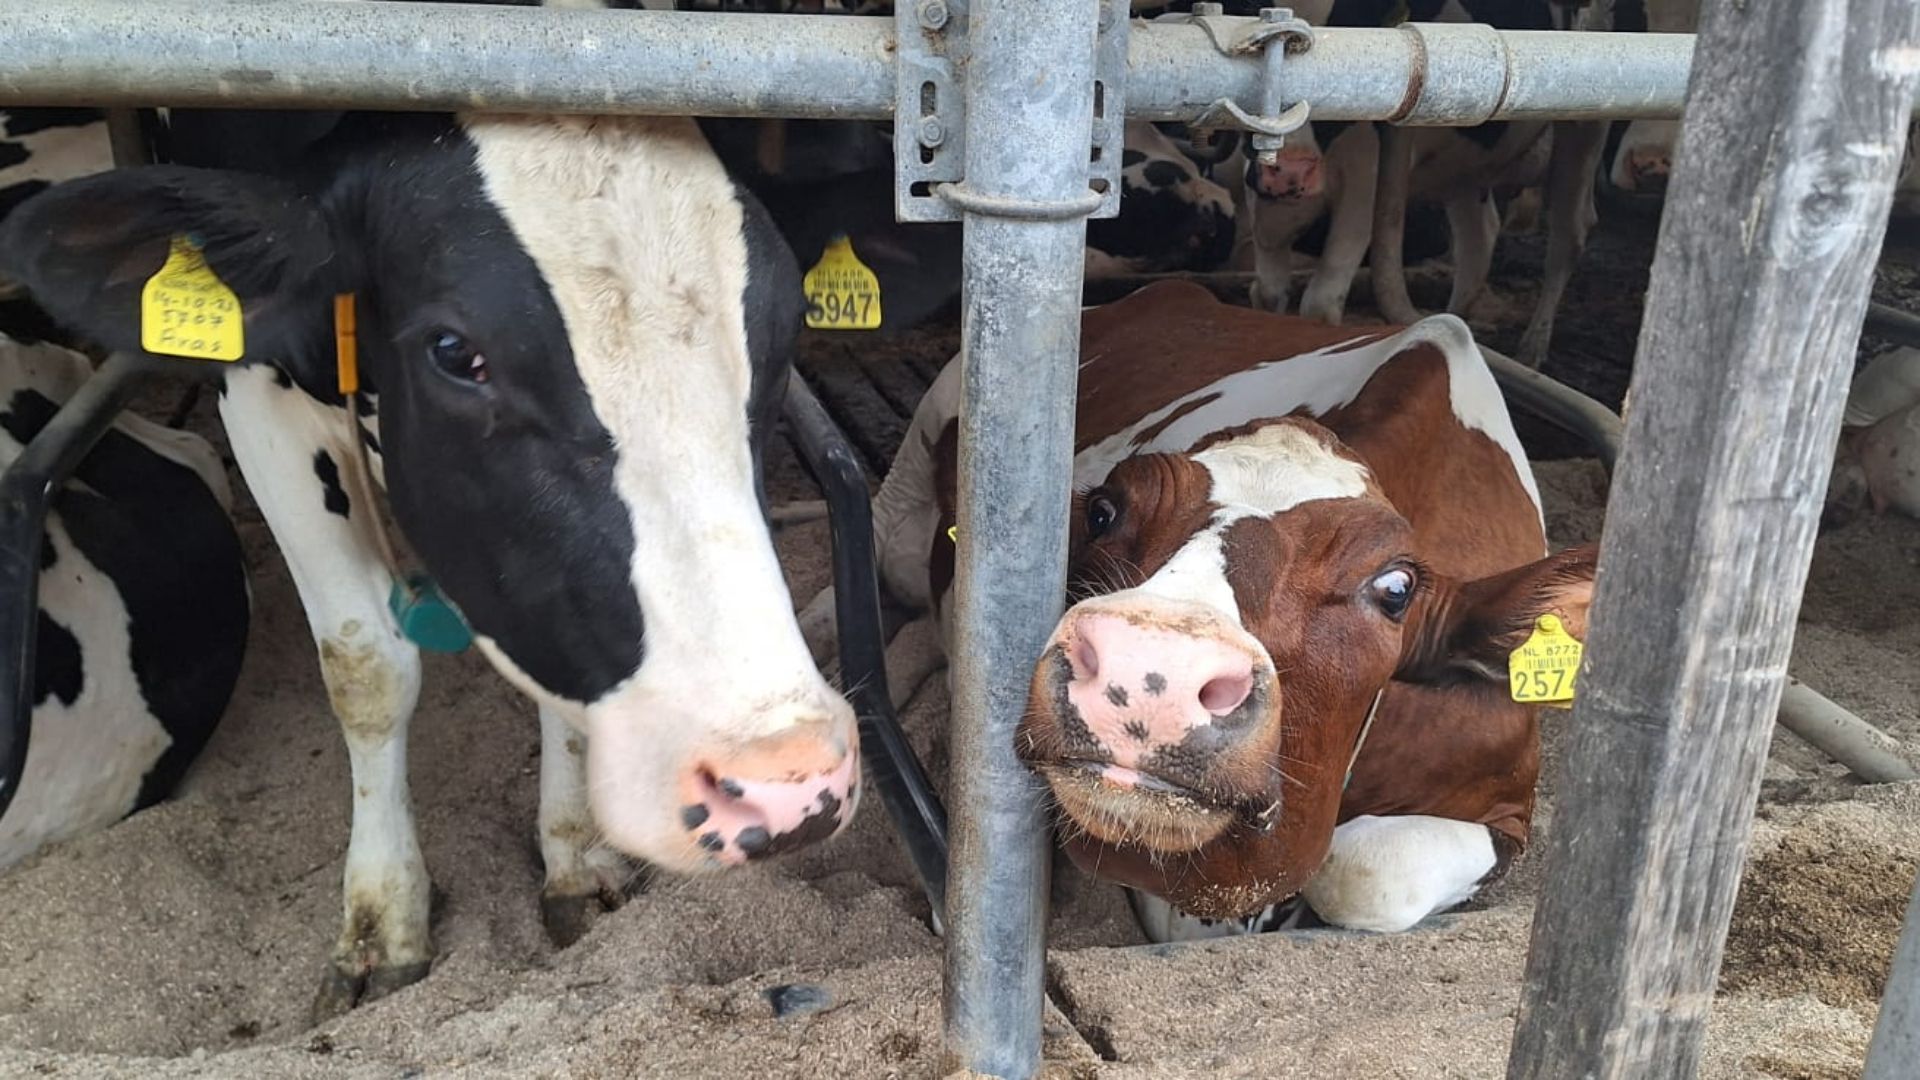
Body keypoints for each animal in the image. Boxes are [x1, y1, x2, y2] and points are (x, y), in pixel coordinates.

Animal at [802, 282, 1597, 937]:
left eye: (1395, 589)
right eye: (1104, 512)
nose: (1148, 671)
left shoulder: (1508, 806)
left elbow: (1367, 874)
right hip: (918, 464)